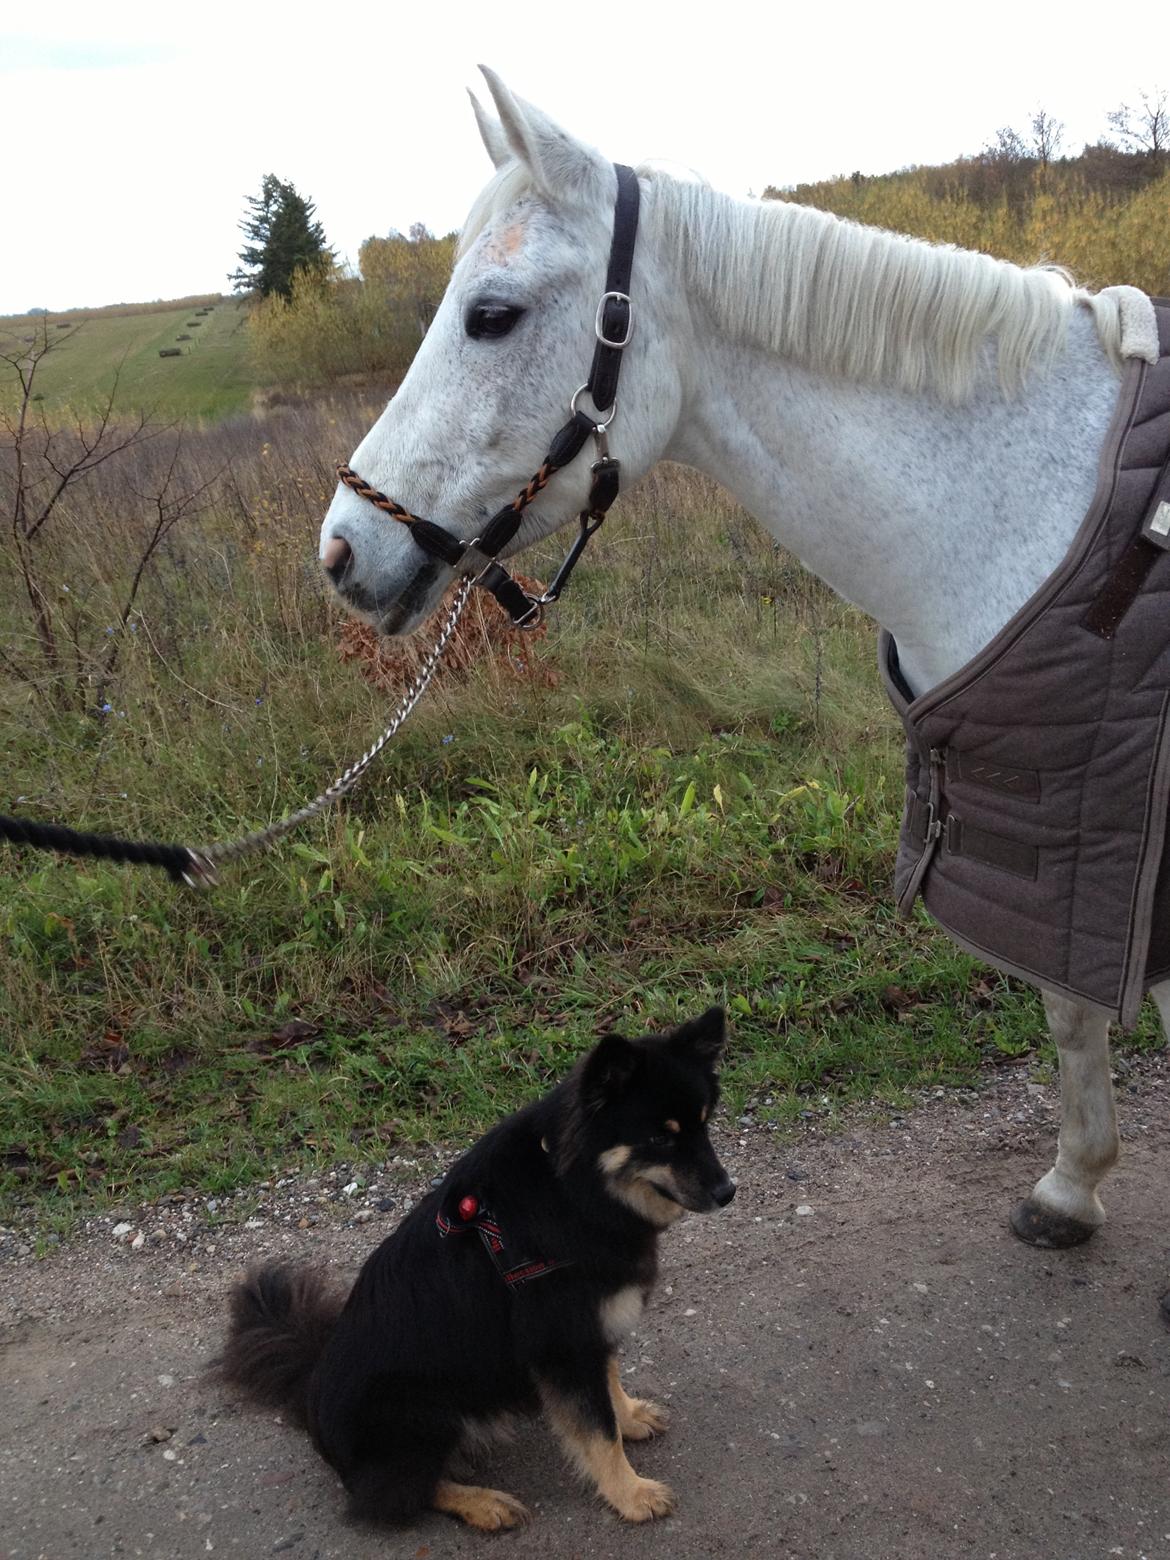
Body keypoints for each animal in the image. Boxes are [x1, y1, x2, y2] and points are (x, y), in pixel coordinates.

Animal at [218, 1004, 733, 1528]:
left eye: (704, 1124)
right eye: (660, 1137)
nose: (727, 1192)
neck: (573, 1188)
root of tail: (311, 1400)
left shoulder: (593, 1327)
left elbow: (608, 1388)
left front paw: (628, 1417)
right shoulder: (564, 1342)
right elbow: (597, 1433)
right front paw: (630, 1493)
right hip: (422, 1411)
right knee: (399, 1496)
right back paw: (484, 1503)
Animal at [322, 73, 1170, 1260]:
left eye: (491, 315)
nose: (343, 552)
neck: (1054, 527)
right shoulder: (1067, 835)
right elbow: (1070, 1003)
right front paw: (1070, 1187)